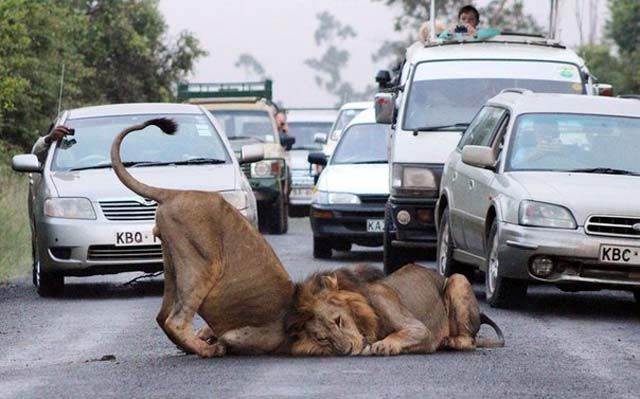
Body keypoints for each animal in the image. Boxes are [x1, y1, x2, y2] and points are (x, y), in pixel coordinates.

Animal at [112, 117, 296, 358]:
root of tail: (173, 193)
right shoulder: (259, 335)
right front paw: (217, 343)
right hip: (202, 263)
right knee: (175, 321)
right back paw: (209, 350)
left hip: (172, 262)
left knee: (162, 316)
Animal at [288, 266, 504, 356]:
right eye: (322, 338)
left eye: (338, 320)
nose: (347, 350)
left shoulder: (420, 329)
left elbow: (405, 333)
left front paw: (385, 345)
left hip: (458, 278)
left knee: (470, 341)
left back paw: (449, 341)